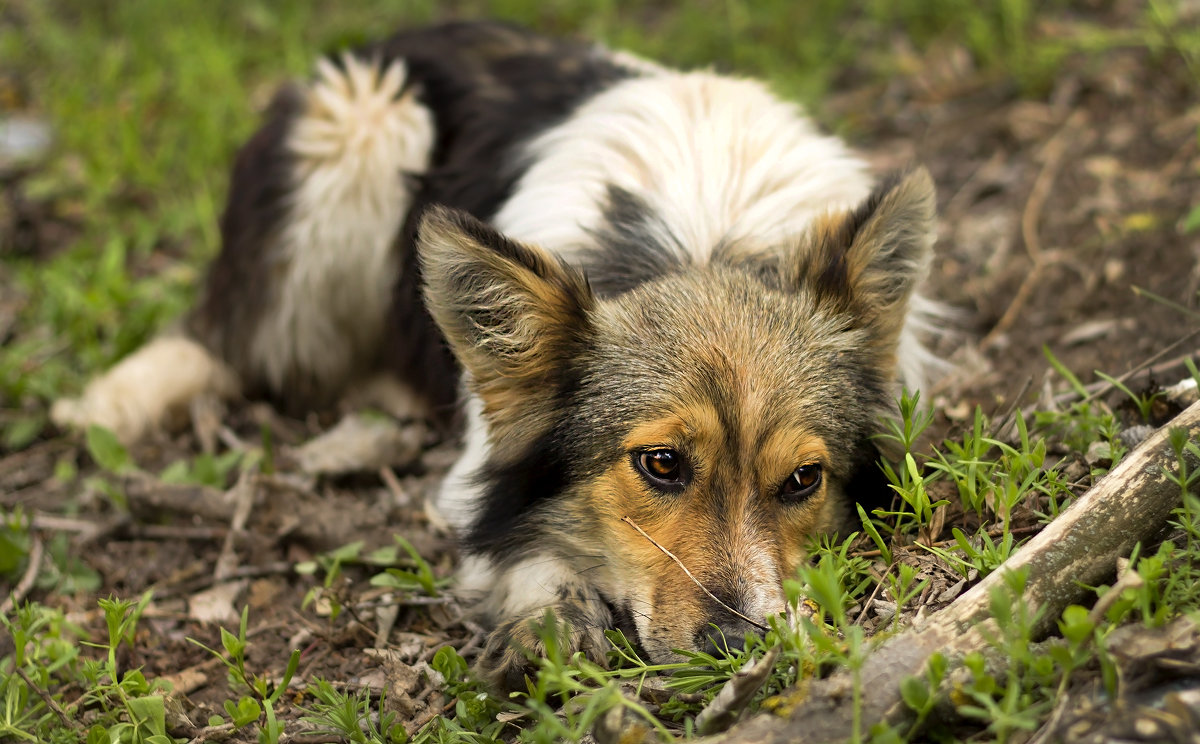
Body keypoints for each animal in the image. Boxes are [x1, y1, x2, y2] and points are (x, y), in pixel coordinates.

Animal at [51, 20, 940, 686]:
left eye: (802, 482)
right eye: (660, 465)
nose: (735, 649)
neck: (701, 242)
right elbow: (520, 550)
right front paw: (548, 620)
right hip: (360, 121)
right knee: (229, 342)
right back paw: (112, 403)